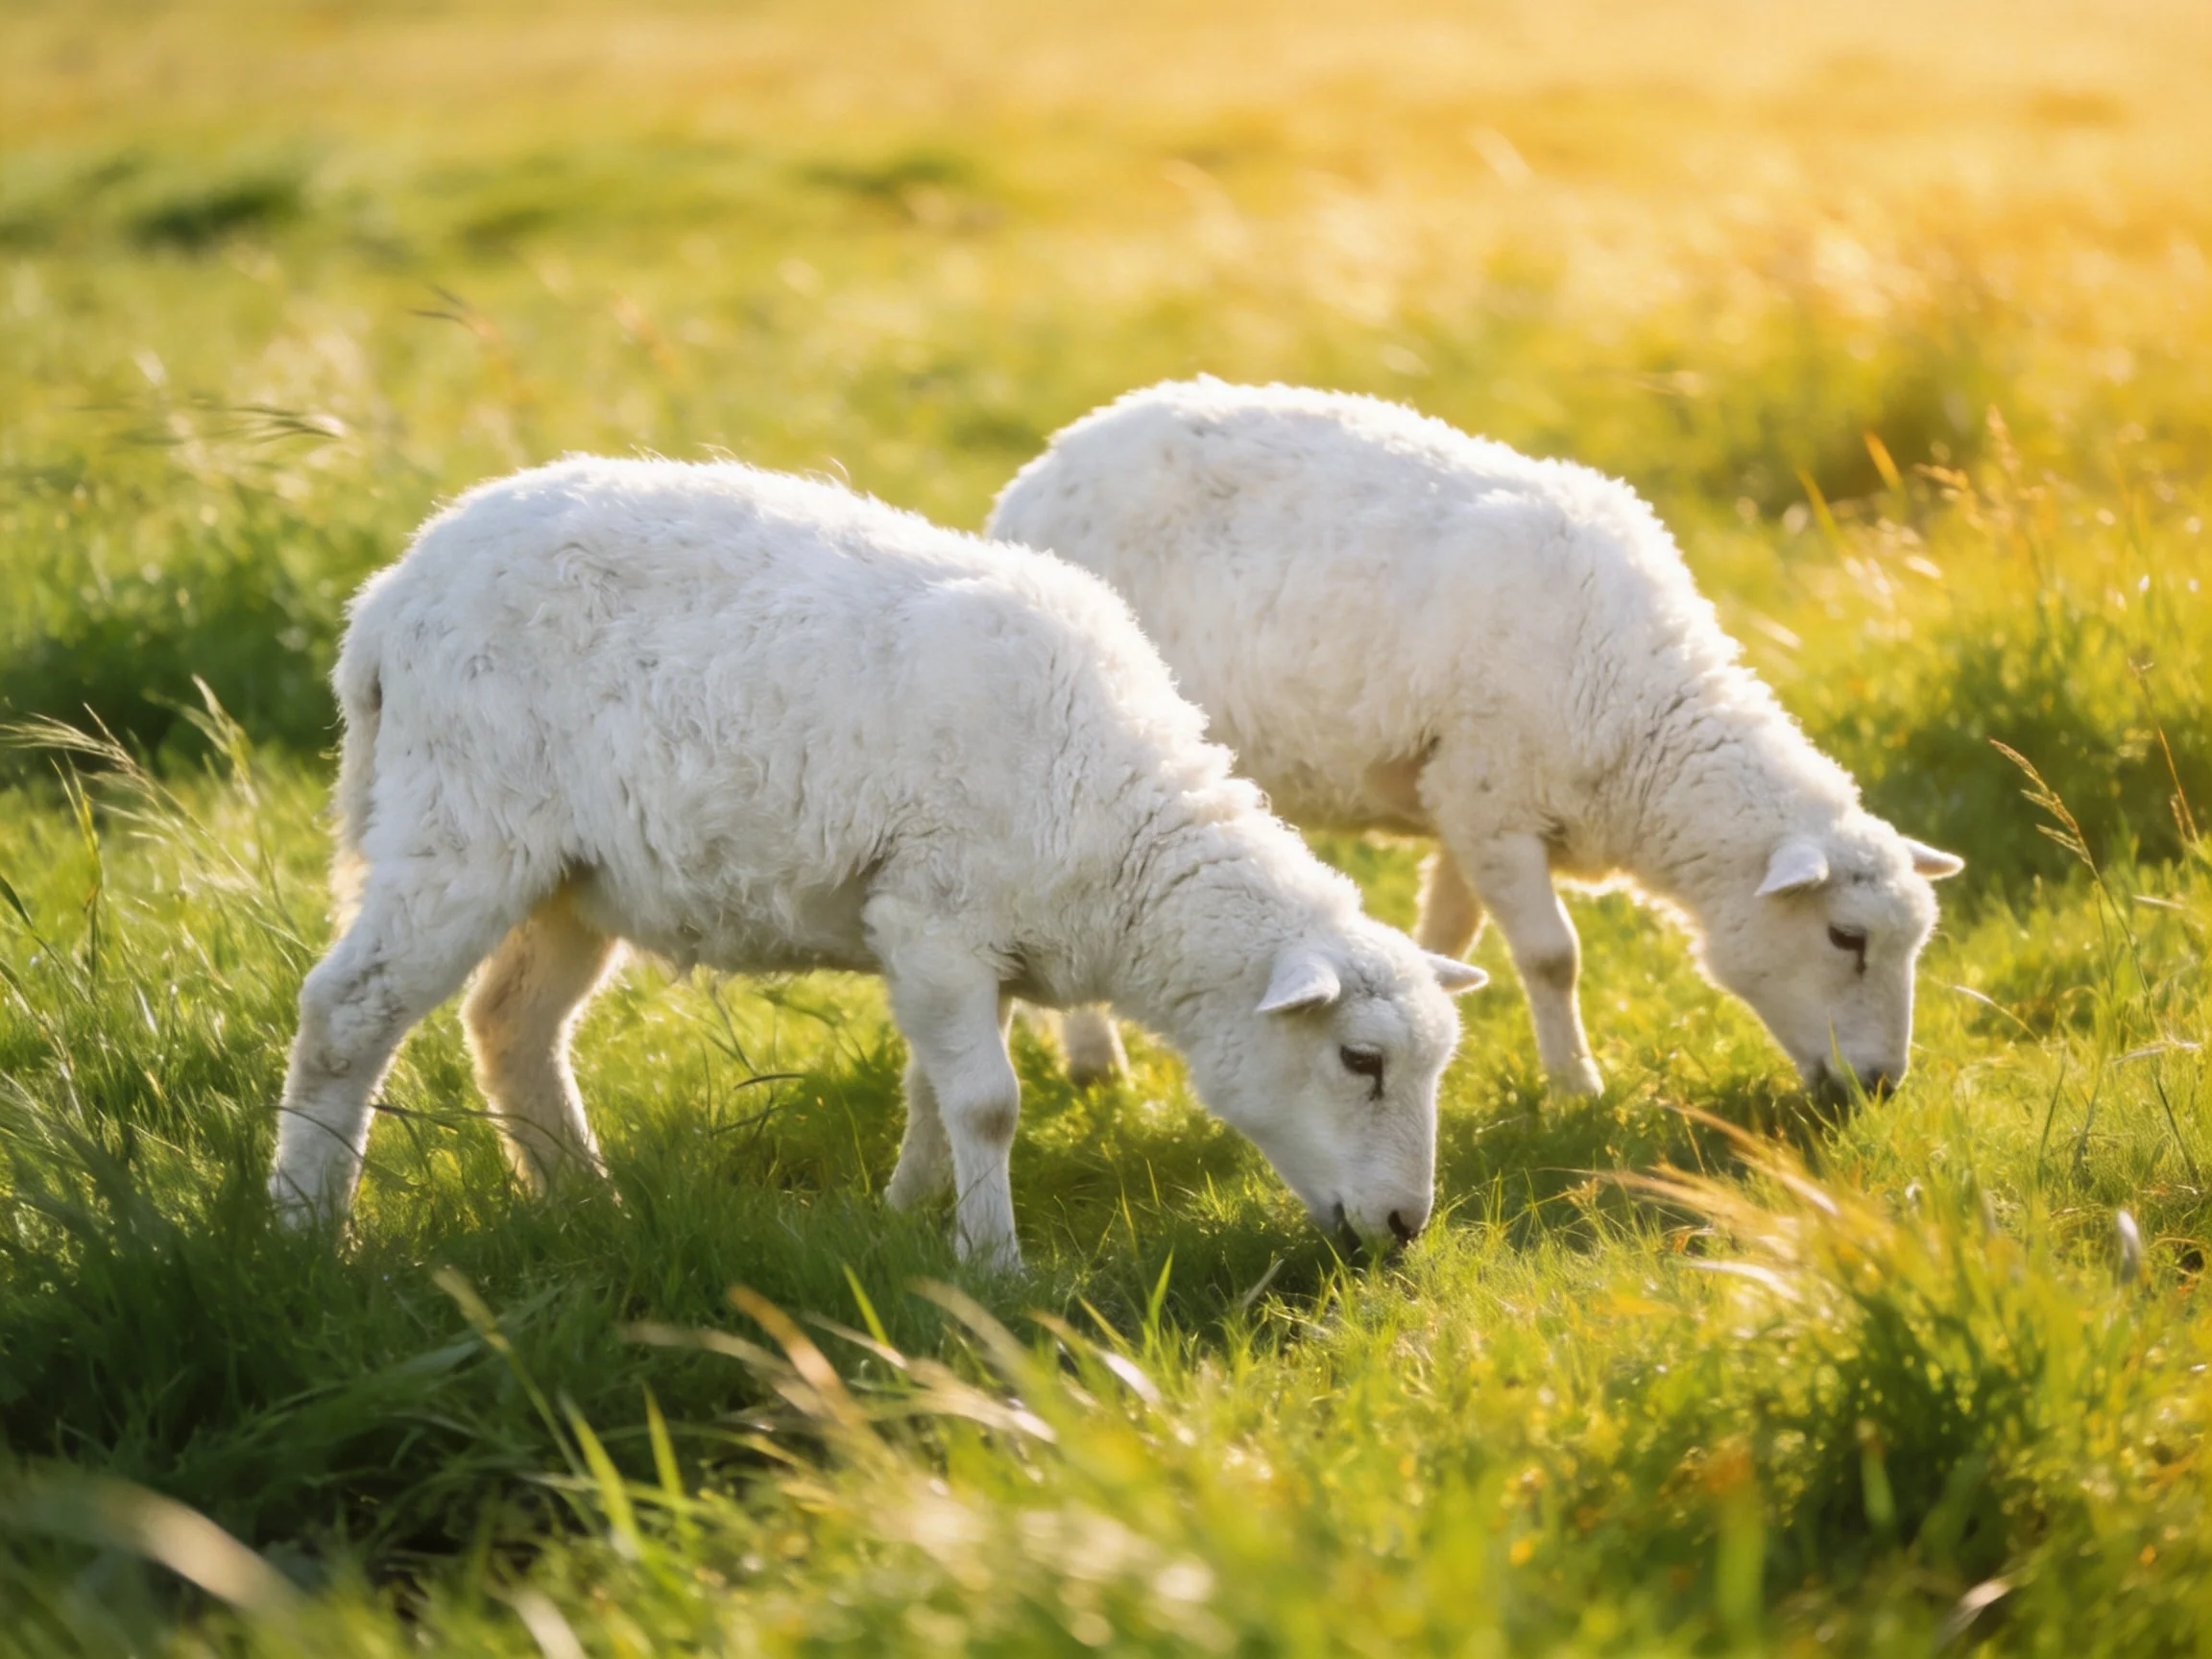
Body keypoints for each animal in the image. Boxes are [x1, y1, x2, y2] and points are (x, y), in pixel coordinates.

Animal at [267, 455, 1486, 1265]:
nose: (1403, 1227)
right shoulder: (934, 921)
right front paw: (994, 1265)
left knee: (510, 1025)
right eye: (1361, 1061)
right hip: (461, 828)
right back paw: (307, 1234)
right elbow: (987, 1104)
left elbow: (930, 1093)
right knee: (346, 1013)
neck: (1119, 824)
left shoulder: (954, 942)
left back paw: (586, 1209)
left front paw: (906, 1214)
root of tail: (389, 598)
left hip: (570, 878)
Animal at [992, 379, 1964, 1100]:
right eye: (1846, 937)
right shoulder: (1493, 801)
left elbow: (1449, 938)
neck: (1641, 718)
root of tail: (1038, 470)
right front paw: (1577, 1087)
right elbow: (1553, 956)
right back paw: (1094, 1061)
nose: (1881, 1086)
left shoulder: (1461, 806)